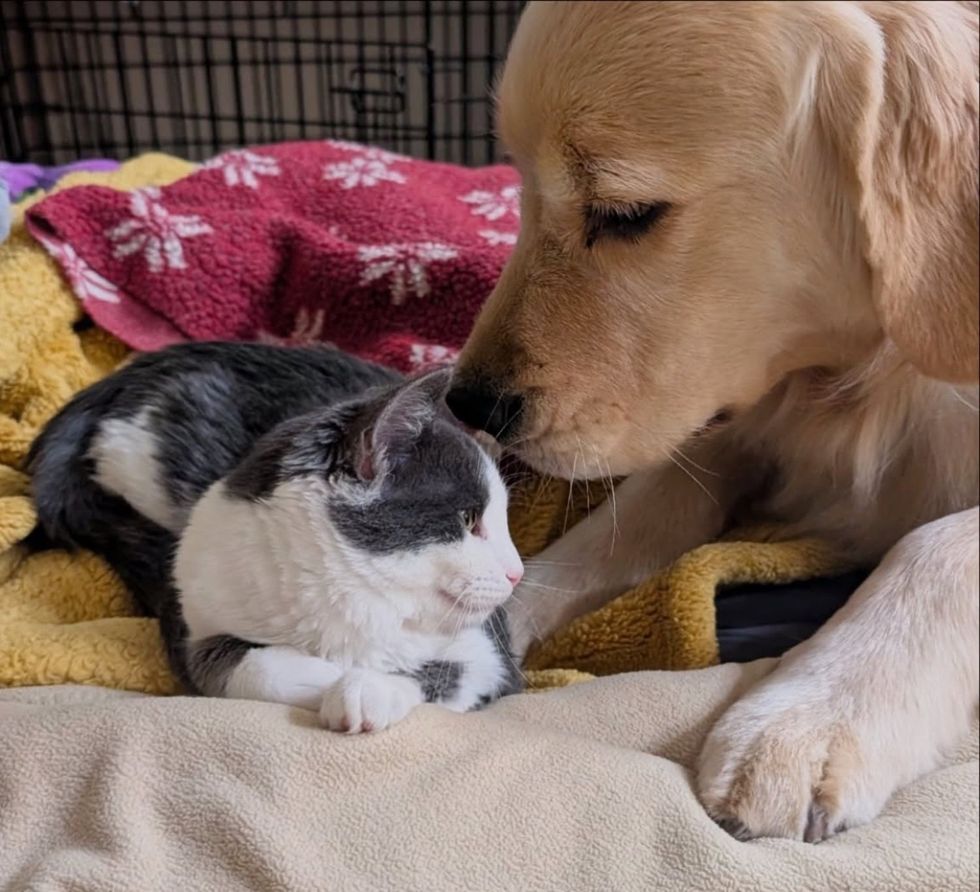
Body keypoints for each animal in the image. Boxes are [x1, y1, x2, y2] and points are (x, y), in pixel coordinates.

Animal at [26, 342, 524, 732]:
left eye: (504, 521)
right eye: (468, 518)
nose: (516, 573)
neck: (349, 596)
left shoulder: (493, 657)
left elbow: (450, 672)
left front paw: (367, 690)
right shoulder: (195, 614)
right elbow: (245, 668)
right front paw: (331, 679)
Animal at [448, 1, 976, 844]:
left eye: (626, 214)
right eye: (518, 188)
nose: (467, 405)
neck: (865, 375)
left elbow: (939, 546)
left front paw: (809, 716)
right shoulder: (732, 423)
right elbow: (628, 522)